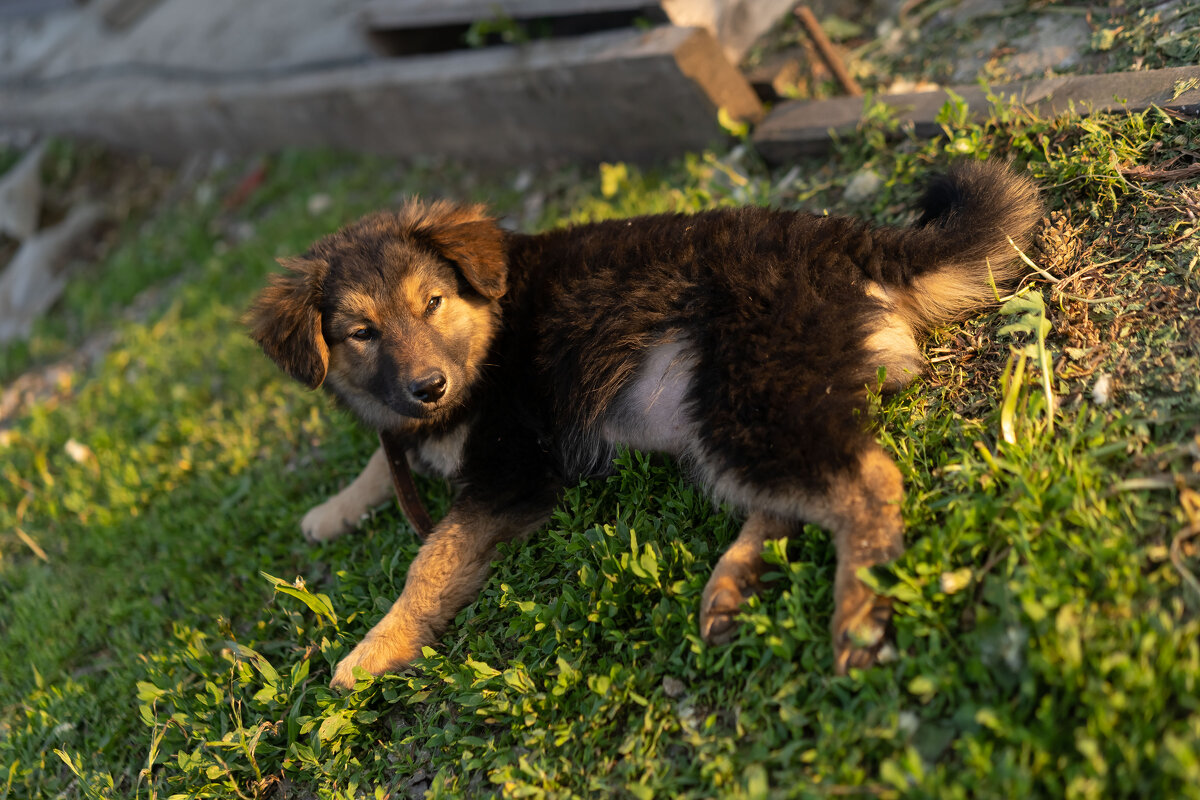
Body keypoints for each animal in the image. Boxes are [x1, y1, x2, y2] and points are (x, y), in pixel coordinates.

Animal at [246, 160, 1041, 690]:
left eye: (432, 302)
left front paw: (373, 651)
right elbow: (384, 459)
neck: (489, 329)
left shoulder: (513, 472)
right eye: (361, 333)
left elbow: (431, 559)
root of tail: (846, 241)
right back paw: (732, 586)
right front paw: (332, 509)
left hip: (742, 391)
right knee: (800, 493)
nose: (429, 386)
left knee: (866, 477)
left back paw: (859, 617)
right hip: (723, 405)